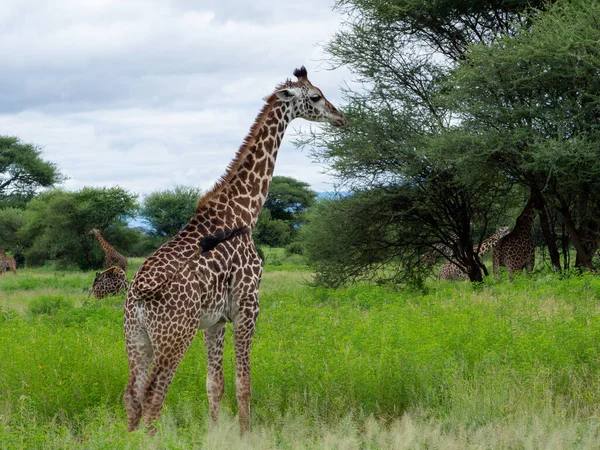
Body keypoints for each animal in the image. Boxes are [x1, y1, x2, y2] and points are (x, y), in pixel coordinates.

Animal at [123, 65, 346, 434]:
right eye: (315, 96)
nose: (341, 116)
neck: (245, 211)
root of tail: (139, 294)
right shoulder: (248, 305)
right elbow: (244, 381)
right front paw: (245, 433)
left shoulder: (214, 320)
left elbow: (214, 384)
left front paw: (215, 433)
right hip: (174, 335)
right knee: (154, 393)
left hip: (136, 337)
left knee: (132, 395)